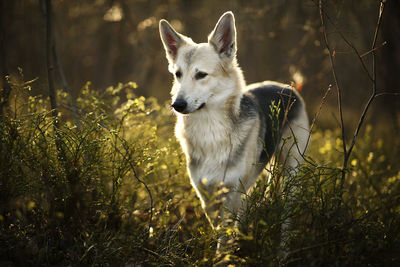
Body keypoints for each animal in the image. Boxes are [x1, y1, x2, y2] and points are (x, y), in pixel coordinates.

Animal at [159, 9, 310, 249]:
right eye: (177, 74)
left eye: (201, 75)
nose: (177, 105)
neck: (210, 132)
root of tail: (287, 87)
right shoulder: (206, 195)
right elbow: (219, 230)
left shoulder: (231, 193)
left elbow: (224, 237)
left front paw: (224, 254)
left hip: (291, 173)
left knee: (286, 218)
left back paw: (282, 250)